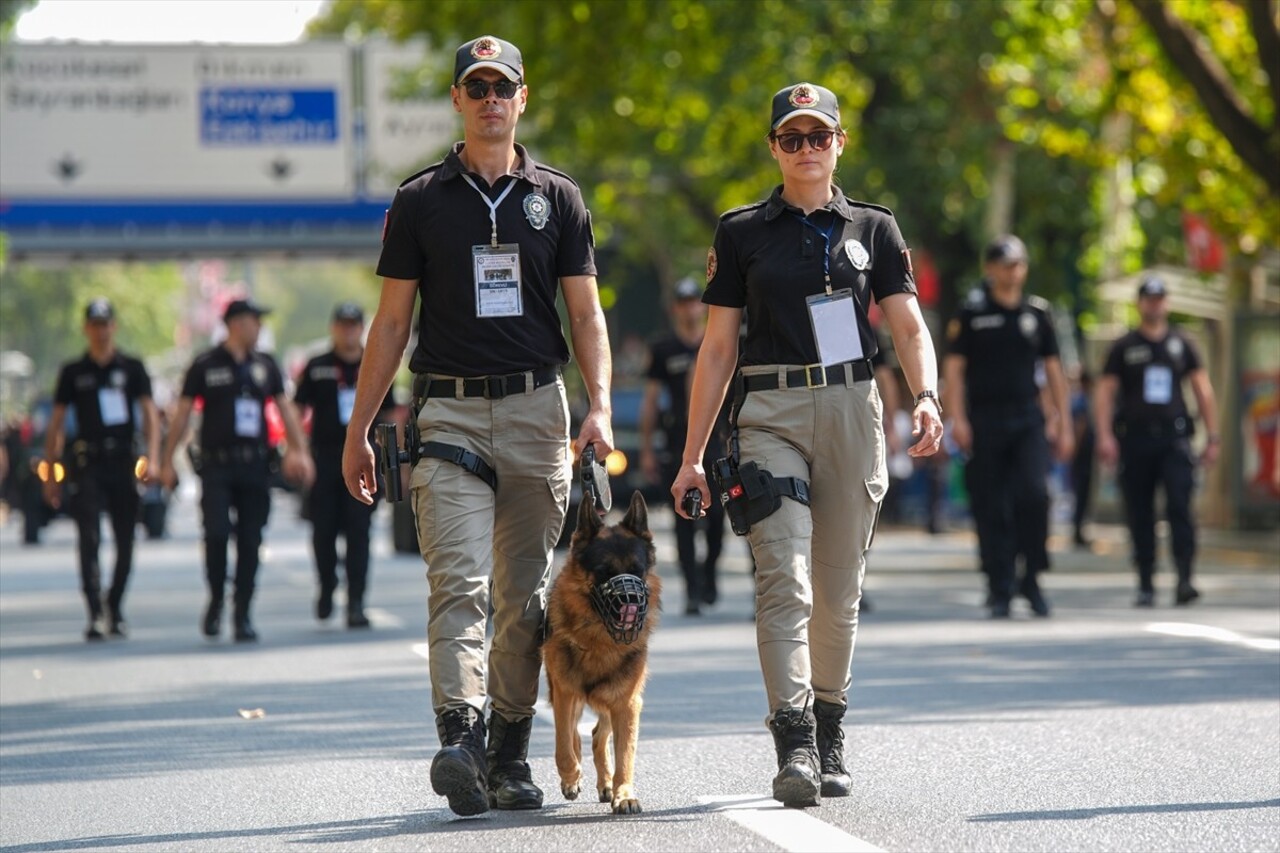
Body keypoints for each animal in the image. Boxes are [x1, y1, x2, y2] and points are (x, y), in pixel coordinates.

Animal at [540, 491, 660, 809]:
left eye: (637, 571)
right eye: (604, 573)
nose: (631, 601)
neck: (599, 639)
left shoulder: (627, 703)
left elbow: (625, 755)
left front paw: (624, 794)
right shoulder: (565, 693)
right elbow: (564, 746)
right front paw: (571, 777)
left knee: (597, 735)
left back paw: (607, 784)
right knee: (576, 736)